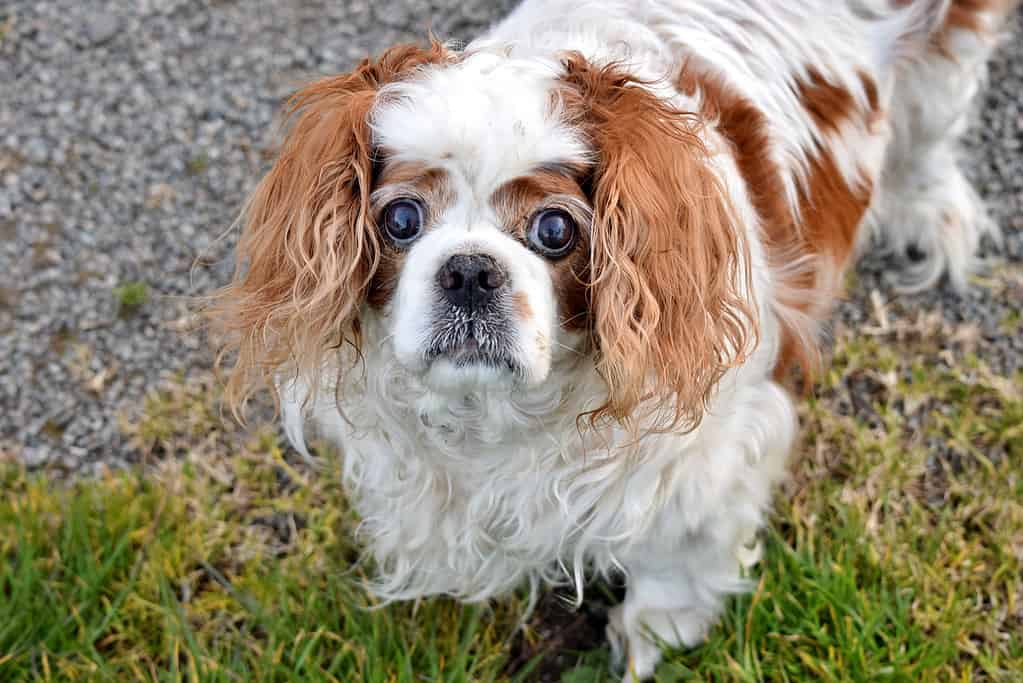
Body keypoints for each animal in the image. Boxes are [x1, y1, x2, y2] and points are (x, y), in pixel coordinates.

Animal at [207, 0, 1014, 678]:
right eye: (400, 219)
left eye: (554, 230)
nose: (469, 269)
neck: (498, 418)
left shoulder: (711, 447)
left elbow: (678, 551)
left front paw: (654, 629)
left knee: (929, 134)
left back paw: (929, 214)